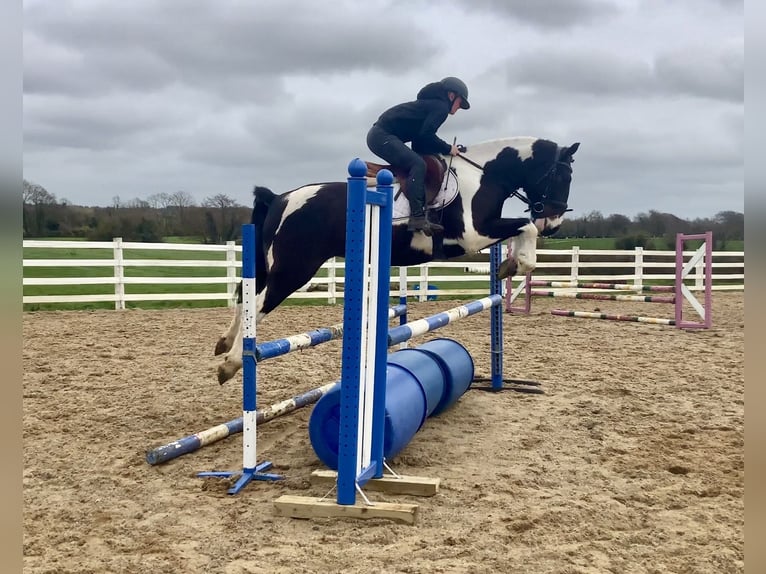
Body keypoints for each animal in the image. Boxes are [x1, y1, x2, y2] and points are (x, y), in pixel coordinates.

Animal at [214, 136, 579, 384]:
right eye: (562, 177)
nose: (554, 224)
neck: (485, 176)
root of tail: (280, 198)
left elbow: (522, 231)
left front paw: (508, 265)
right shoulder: (472, 235)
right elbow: (525, 227)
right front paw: (516, 263)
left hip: (275, 265)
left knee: (246, 295)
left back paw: (225, 343)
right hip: (295, 268)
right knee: (258, 302)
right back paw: (232, 361)